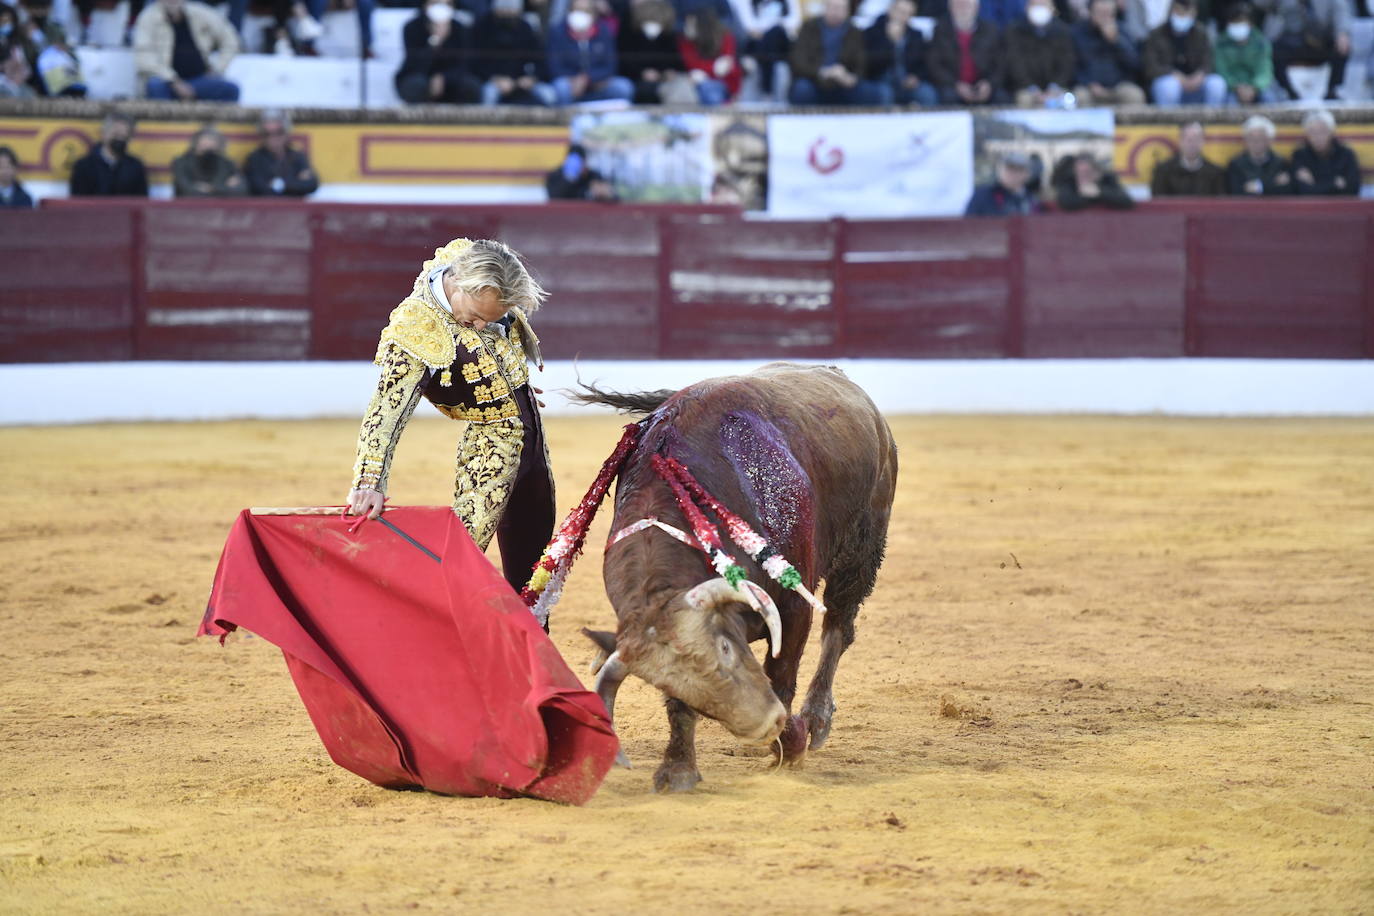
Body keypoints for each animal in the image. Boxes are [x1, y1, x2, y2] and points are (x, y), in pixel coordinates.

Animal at [574, 362, 895, 791]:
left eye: (727, 649)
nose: (766, 724)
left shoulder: (794, 604)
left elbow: (782, 673)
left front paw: (791, 745)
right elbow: (679, 708)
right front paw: (678, 769)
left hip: (861, 551)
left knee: (838, 628)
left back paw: (816, 719)